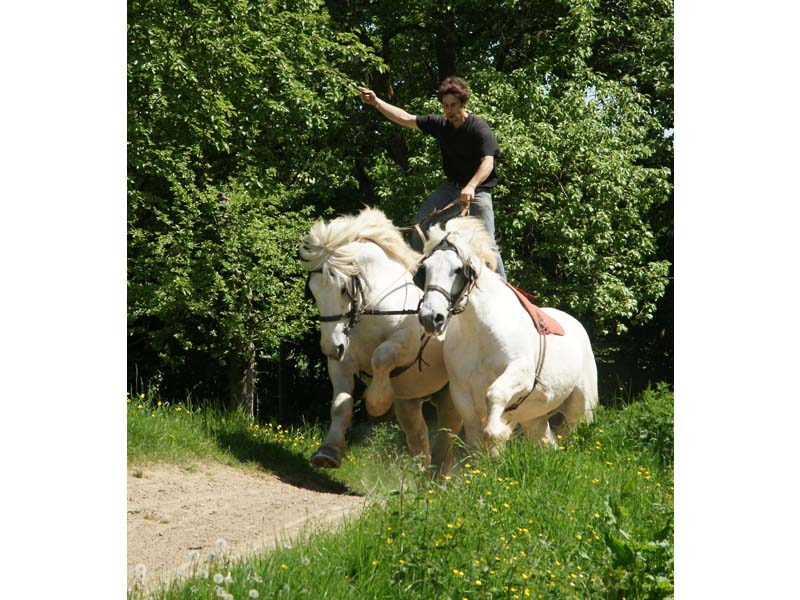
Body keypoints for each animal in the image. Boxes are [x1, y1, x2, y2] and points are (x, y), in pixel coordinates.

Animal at [296, 206, 460, 474]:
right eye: (312, 290)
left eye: (343, 288)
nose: (330, 347)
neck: (370, 309)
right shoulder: (342, 360)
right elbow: (341, 405)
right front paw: (328, 452)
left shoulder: (406, 344)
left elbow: (380, 357)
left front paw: (378, 406)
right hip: (409, 401)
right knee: (419, 437)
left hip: (451, 400)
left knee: (446, 439)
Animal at [410, 217, 596, 454]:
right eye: (426, 269)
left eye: (458, 270)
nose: (431, 318)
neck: (480, 332)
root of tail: (577, 326)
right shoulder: (462, 393)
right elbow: (475, 439)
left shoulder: (521, 372)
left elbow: (494, 395)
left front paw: (496, 432)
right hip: (534, 418)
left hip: (581, 408)